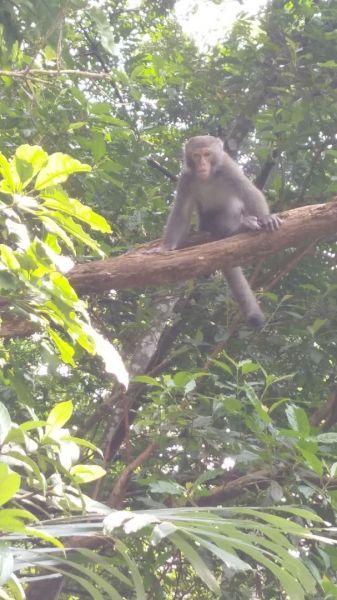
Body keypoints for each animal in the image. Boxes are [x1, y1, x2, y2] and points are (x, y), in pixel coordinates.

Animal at [161, 135, 280, 328]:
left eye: (207, 154)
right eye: (196, 156)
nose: (202, 164)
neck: (208, 177)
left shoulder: (227, 167)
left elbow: (249, 191)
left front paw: (266, 217)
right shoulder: (186, 179)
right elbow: (181, 213)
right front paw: (166, 246)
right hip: (208, 224)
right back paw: (238, 228)